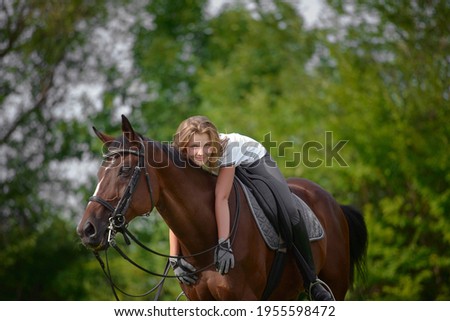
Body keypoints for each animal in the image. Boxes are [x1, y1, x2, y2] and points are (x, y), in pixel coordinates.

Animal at [76, 115, 366, 300]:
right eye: (99, 173)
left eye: (124, 171)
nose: (86, 230)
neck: (203, 243)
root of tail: (333, 203)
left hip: (335, 284)